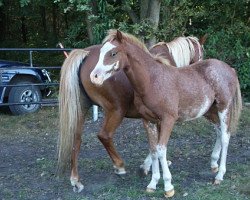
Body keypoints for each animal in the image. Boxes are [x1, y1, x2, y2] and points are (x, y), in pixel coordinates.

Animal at [57, 33, 206, 193]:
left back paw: (75, 180)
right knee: (104, 135)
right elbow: (158, 145)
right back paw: (119, 165)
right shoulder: (162, 118)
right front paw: (147, 167)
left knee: (76, 140)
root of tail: (84, 54)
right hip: (116, 111)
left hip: (81, 110)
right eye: (201, 53)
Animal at [90, 29, 242, 198]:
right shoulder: (148, 121)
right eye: (101, 52)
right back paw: (214, 163)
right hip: (209, 111)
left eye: (113, 53)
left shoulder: (168, 120)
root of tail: (230, 69)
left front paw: (168, 186)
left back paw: (220, 175)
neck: (152, 81)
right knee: (219, 131)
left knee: (225, 136)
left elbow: (161, 150)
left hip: (223, 108)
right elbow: (153, 150)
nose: (94, 77)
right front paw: (152, 183)